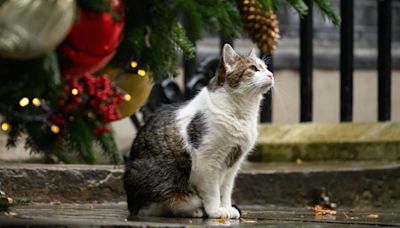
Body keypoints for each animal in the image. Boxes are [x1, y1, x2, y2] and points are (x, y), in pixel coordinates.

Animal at [124, 43, 276, 219]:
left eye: (265, 67)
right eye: (253, 68)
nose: (271, 74)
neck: (241, 113)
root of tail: (131, 206)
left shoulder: (233, 165)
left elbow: (226, 191)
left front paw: (227, 208)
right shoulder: (207, 162)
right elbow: (213, 192)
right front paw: (216, 211)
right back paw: (194, 210)